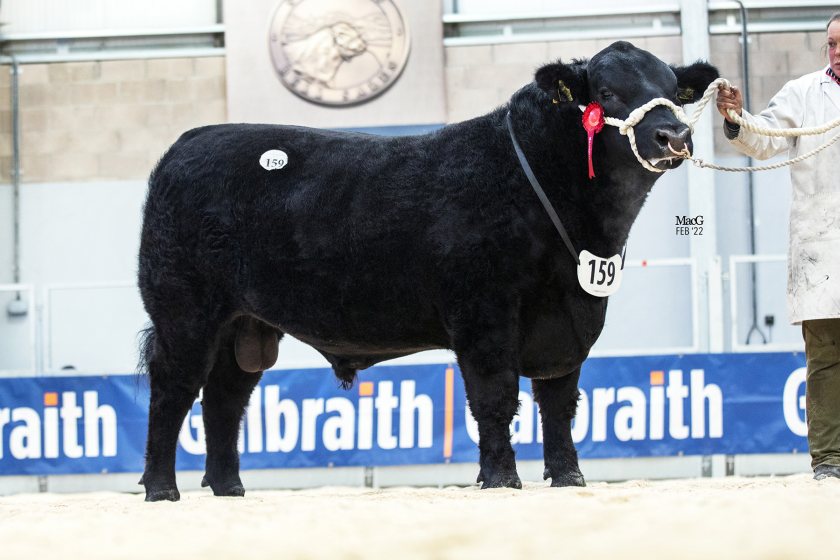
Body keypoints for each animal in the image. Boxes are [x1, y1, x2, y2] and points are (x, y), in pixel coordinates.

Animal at [138, 41, 716, 500]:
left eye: (673, 90)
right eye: (610, 93)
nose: (673, 136)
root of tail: (190, 142)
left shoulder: (572, 317)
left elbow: (558, 403)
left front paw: (569, 478)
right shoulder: (484, 312)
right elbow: (495, 397)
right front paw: (500, 479)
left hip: (246, 325)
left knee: (224, 398)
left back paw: (228, 488)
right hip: (183, 310)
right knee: (172, 389)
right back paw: (162, 488)